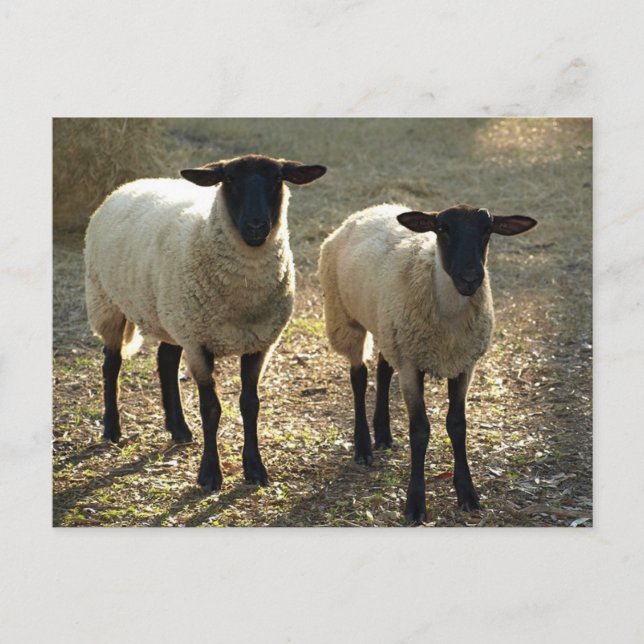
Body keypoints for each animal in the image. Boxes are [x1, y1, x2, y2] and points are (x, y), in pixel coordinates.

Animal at [85, 154, 326, 491]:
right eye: (230, 180)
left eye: (277, 179)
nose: (256, 225)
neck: (245, 296)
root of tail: (128, 184)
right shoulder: (199, 344)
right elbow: (211, 409)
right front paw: (210, 473)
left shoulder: (259, 343)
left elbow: (250, 404)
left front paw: (255, 468)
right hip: (107, 301)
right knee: (111, 364)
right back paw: (112, 429)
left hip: (172, 316)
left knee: (165, 360)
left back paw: (179, 429)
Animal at [318, 203, 537, 523]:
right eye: (442, 228)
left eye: (487, 229)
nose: (470, 278)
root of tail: (370, 209)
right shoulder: (411, 365)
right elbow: (419, 430)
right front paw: (415, 503)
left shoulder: (463, 363)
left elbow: (457, 425)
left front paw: (467, 493)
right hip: (345, 319)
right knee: (359, 377)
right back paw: (364, 447)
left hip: (388, 327)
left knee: (383, 369)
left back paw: (383, 434)